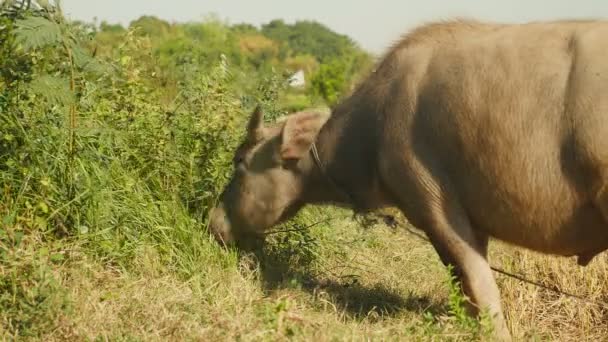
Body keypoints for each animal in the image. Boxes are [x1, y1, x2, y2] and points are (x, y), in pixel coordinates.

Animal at [208, 18, 608, 340]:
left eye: (239, 162)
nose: (214, 222)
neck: (371, 130)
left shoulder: (434, 206)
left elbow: (475, 278)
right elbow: (465, 282)